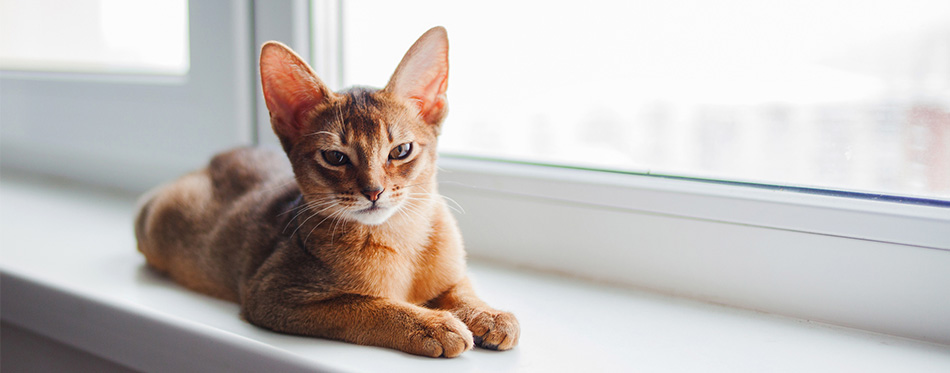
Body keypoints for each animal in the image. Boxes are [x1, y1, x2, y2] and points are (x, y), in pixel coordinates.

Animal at [135, 26, 520, 358]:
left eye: (400, 151)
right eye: (335, 157)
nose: (374, 191)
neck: (400, 239)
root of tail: (213, 159)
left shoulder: (452, 273)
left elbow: (461, 288)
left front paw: (489, 315)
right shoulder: (272, 294)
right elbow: (366, 306)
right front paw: (432, 326)